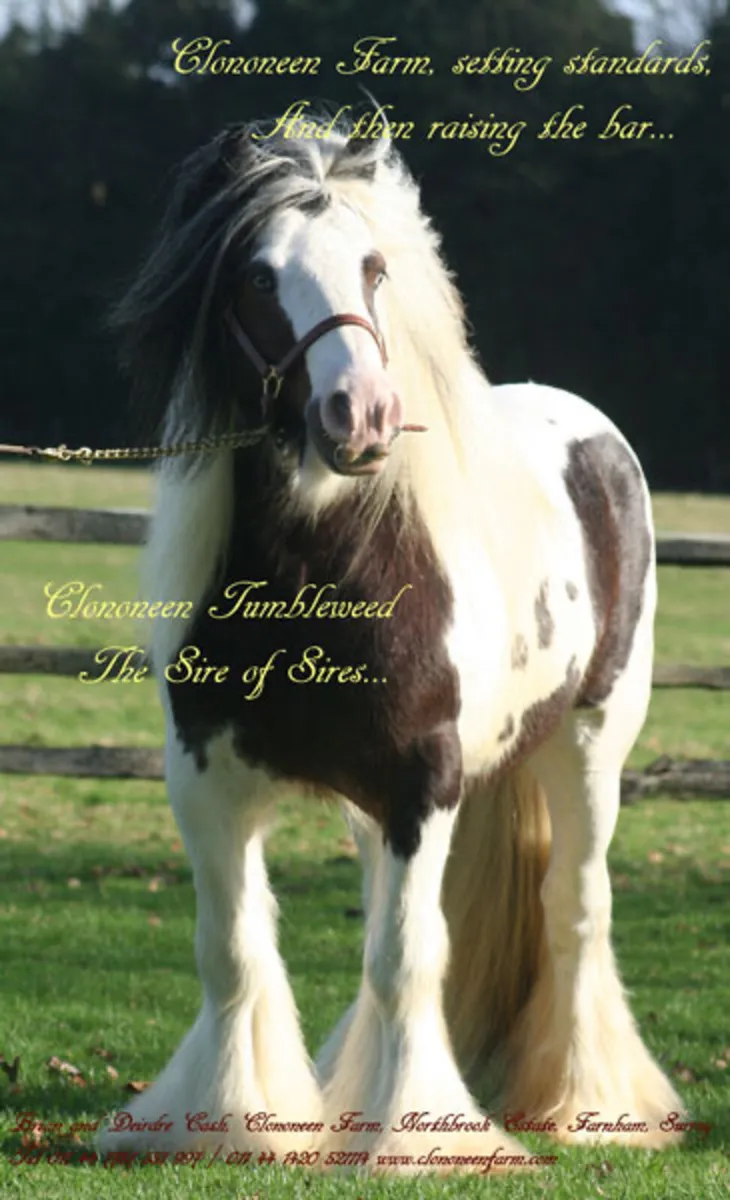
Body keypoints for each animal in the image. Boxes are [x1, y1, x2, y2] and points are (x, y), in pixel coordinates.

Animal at [98, 115, 685, 1174]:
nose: (361, 414)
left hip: (590, 748)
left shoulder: (423, 785)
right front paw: (229, 1124)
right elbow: (234, 951)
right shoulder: (204, 780)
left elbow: (408, 956)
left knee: (576, 913)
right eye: (256, 277)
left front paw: (416, 1137)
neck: (326, 570)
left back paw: (583, 1102)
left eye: (373, 268)